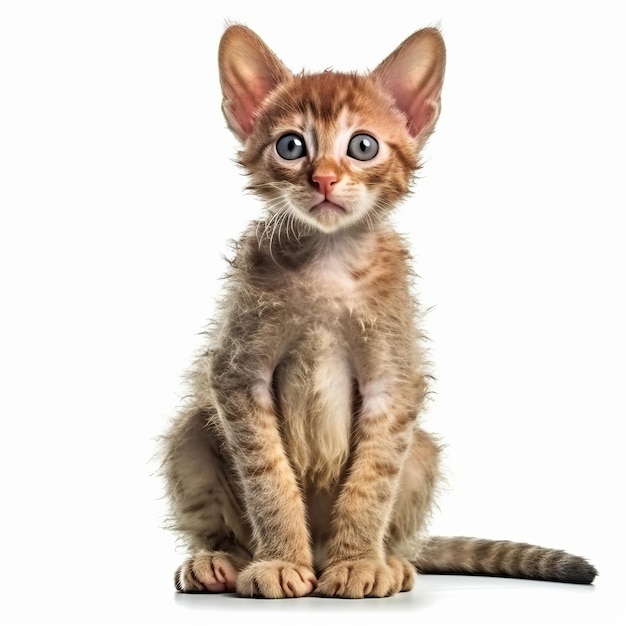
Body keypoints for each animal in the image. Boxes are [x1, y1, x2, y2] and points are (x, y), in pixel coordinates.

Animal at [158, 24, 592, 596]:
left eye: (362, 146)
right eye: (291, 146)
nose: (323, 179)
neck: (329, 259)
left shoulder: (394, 378)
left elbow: (372, 480)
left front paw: (358, 562)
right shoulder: (238, 373)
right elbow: (268, 478)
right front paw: (280, 560)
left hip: (423, 452)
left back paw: (391, 562)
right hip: (190, 432)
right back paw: (220, 559)